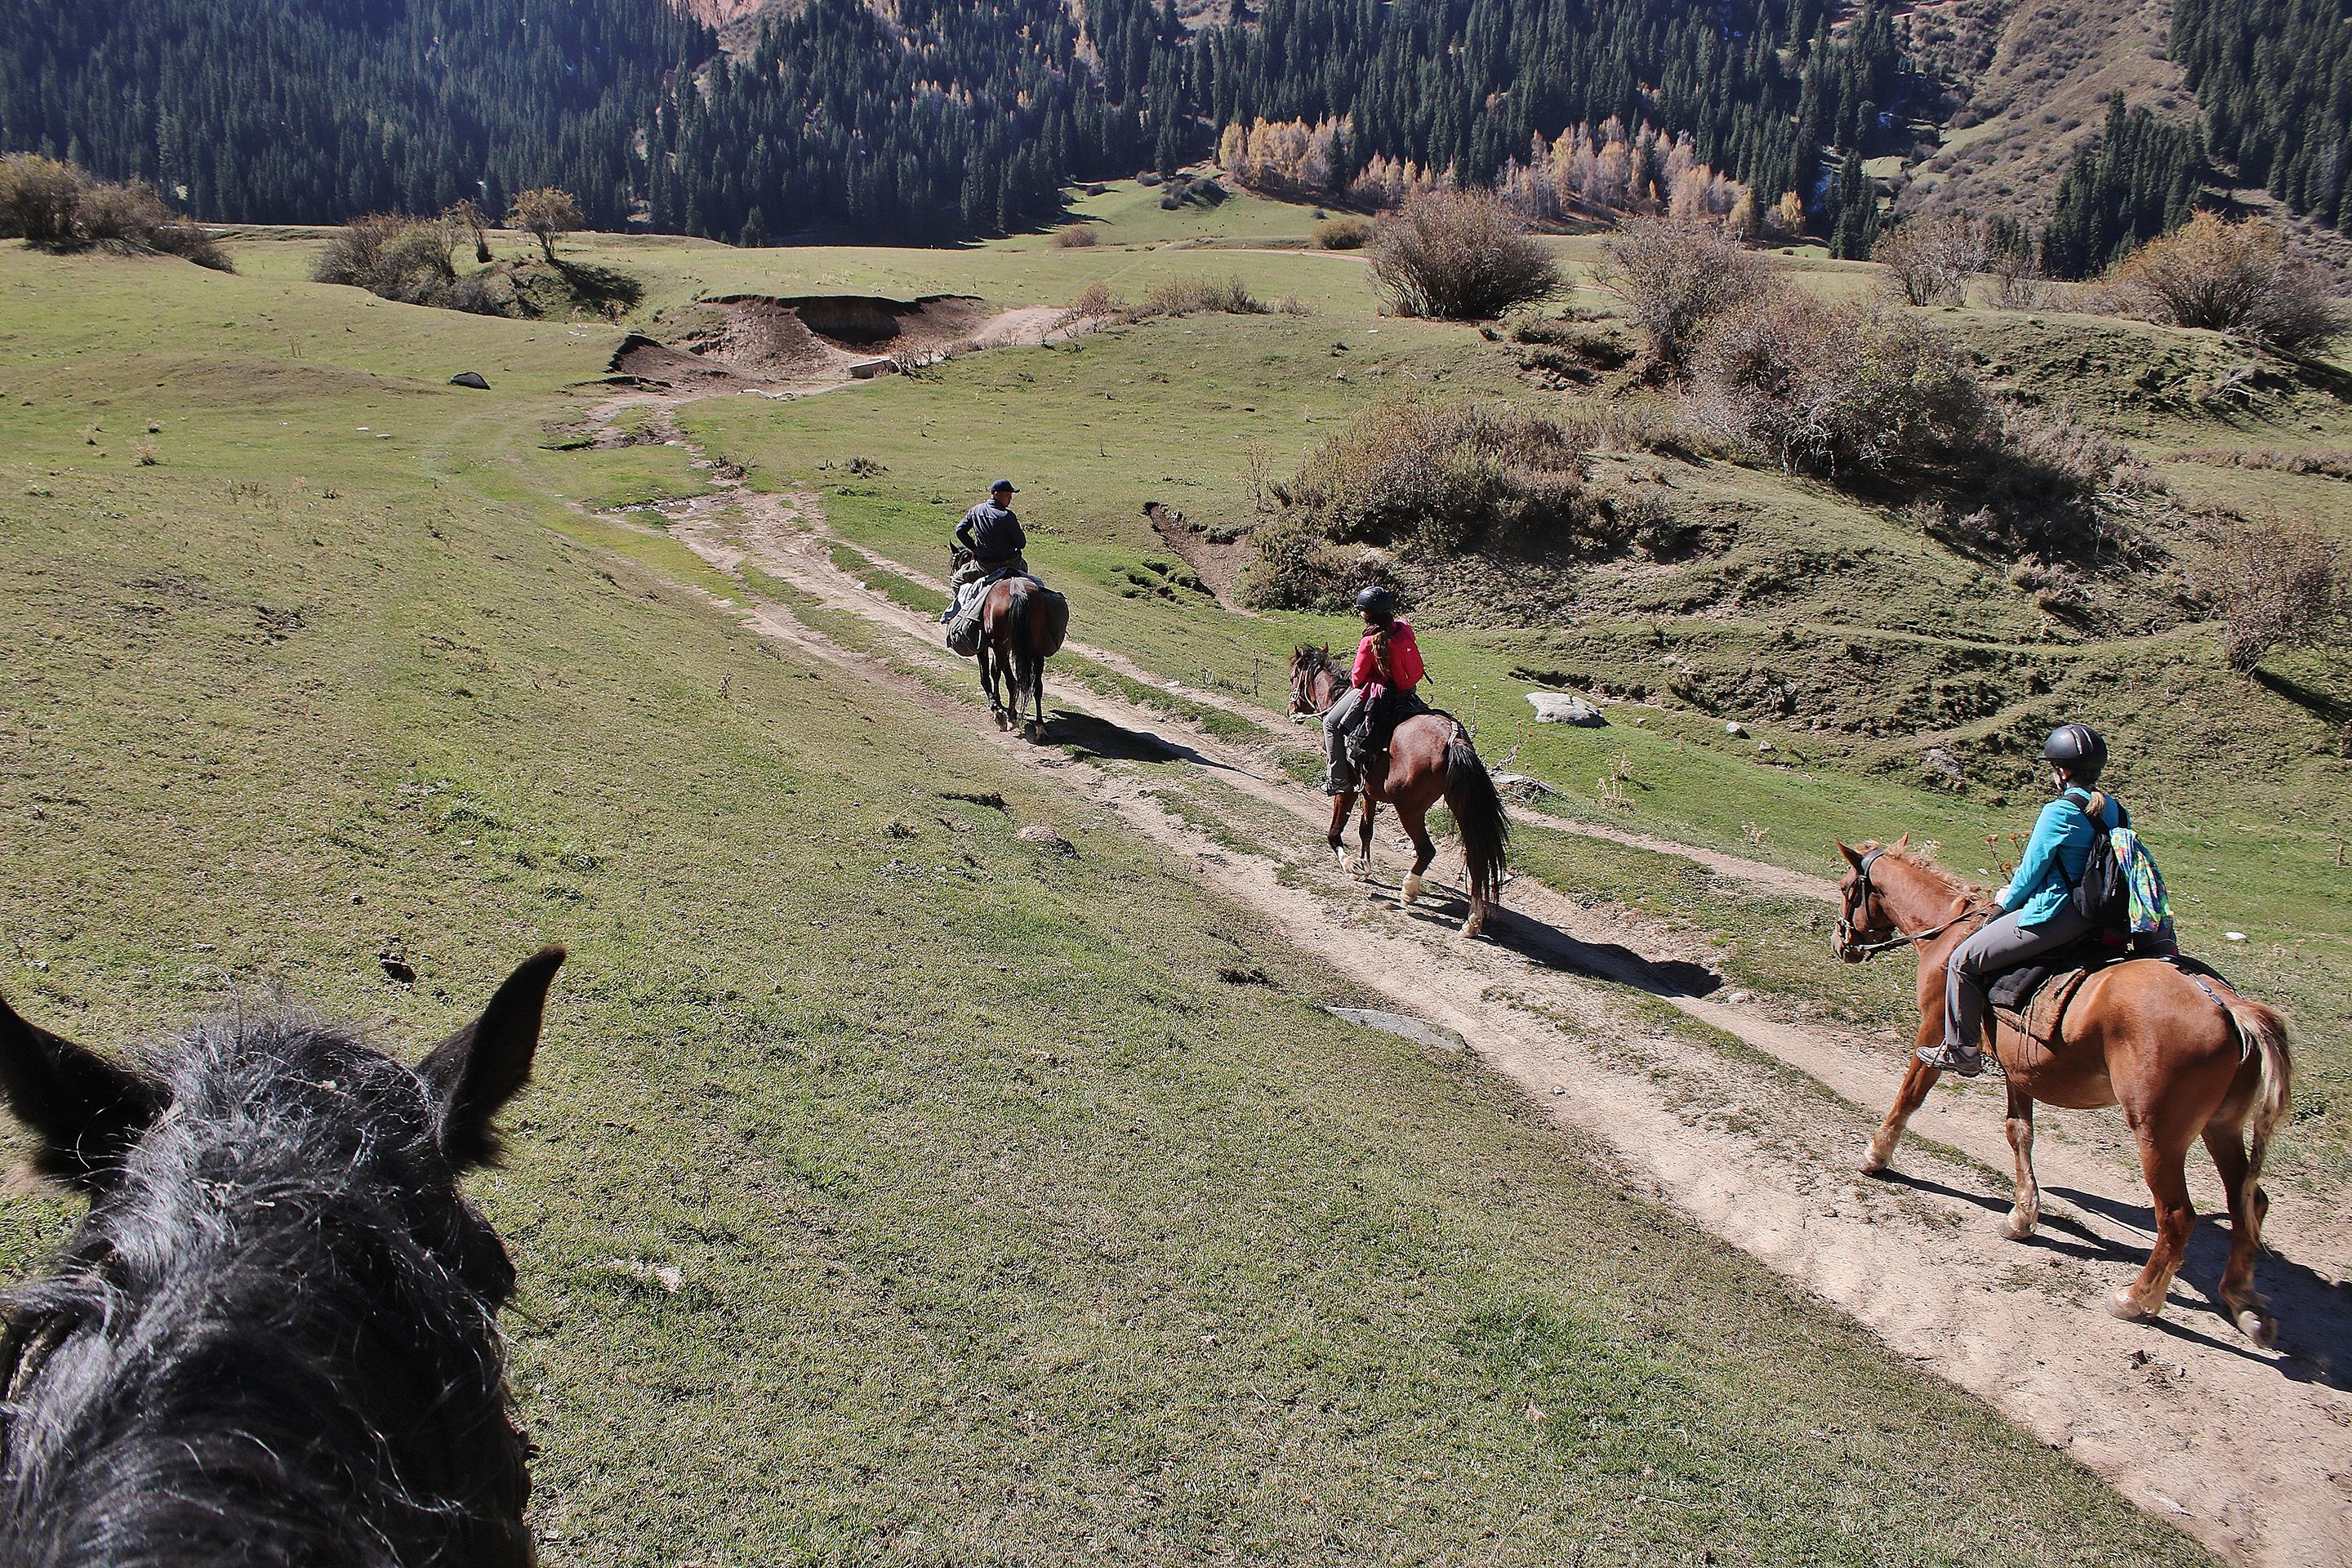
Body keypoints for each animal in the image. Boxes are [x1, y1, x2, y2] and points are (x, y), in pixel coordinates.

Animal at [973, 576, 1067, 742]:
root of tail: (1017, 590)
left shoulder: (986, 645)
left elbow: (988, 675)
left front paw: (997, 708)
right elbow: (998, 674)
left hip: (1002, 645)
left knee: (1008, 678)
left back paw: (1009, 717)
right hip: (1035, 649)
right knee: (1036, 686)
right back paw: (1039, 727)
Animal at [1289, 644, 1505, 940]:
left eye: (1292, 678)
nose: (1291, 709)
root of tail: (1453, 737)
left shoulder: (1349, 788)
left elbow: (1335, 832)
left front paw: (1351, 866)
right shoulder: (1369, 792)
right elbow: (1365, 830)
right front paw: (1365, 867)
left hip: (1409, 808)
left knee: (1426, 850)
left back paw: (1408, 892)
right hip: (1461, 806)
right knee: (1476, 856)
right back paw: (1472, 921)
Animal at [1834, 841, 2295, 1344]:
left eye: (1846, 888)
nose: (1841, 944)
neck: (1949, 933)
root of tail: (2231, 1007)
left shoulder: (1936, 1029)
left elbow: (1910, 1096)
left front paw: (1877, 1156)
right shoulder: (2019, 1070)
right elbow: (2019, 1132)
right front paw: (2023, 1215)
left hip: (2159, 1135)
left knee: (2177, 1216)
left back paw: (2137, 1300)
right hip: (2222, 1128)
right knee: (2249, 1202)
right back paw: (2243, 1300)